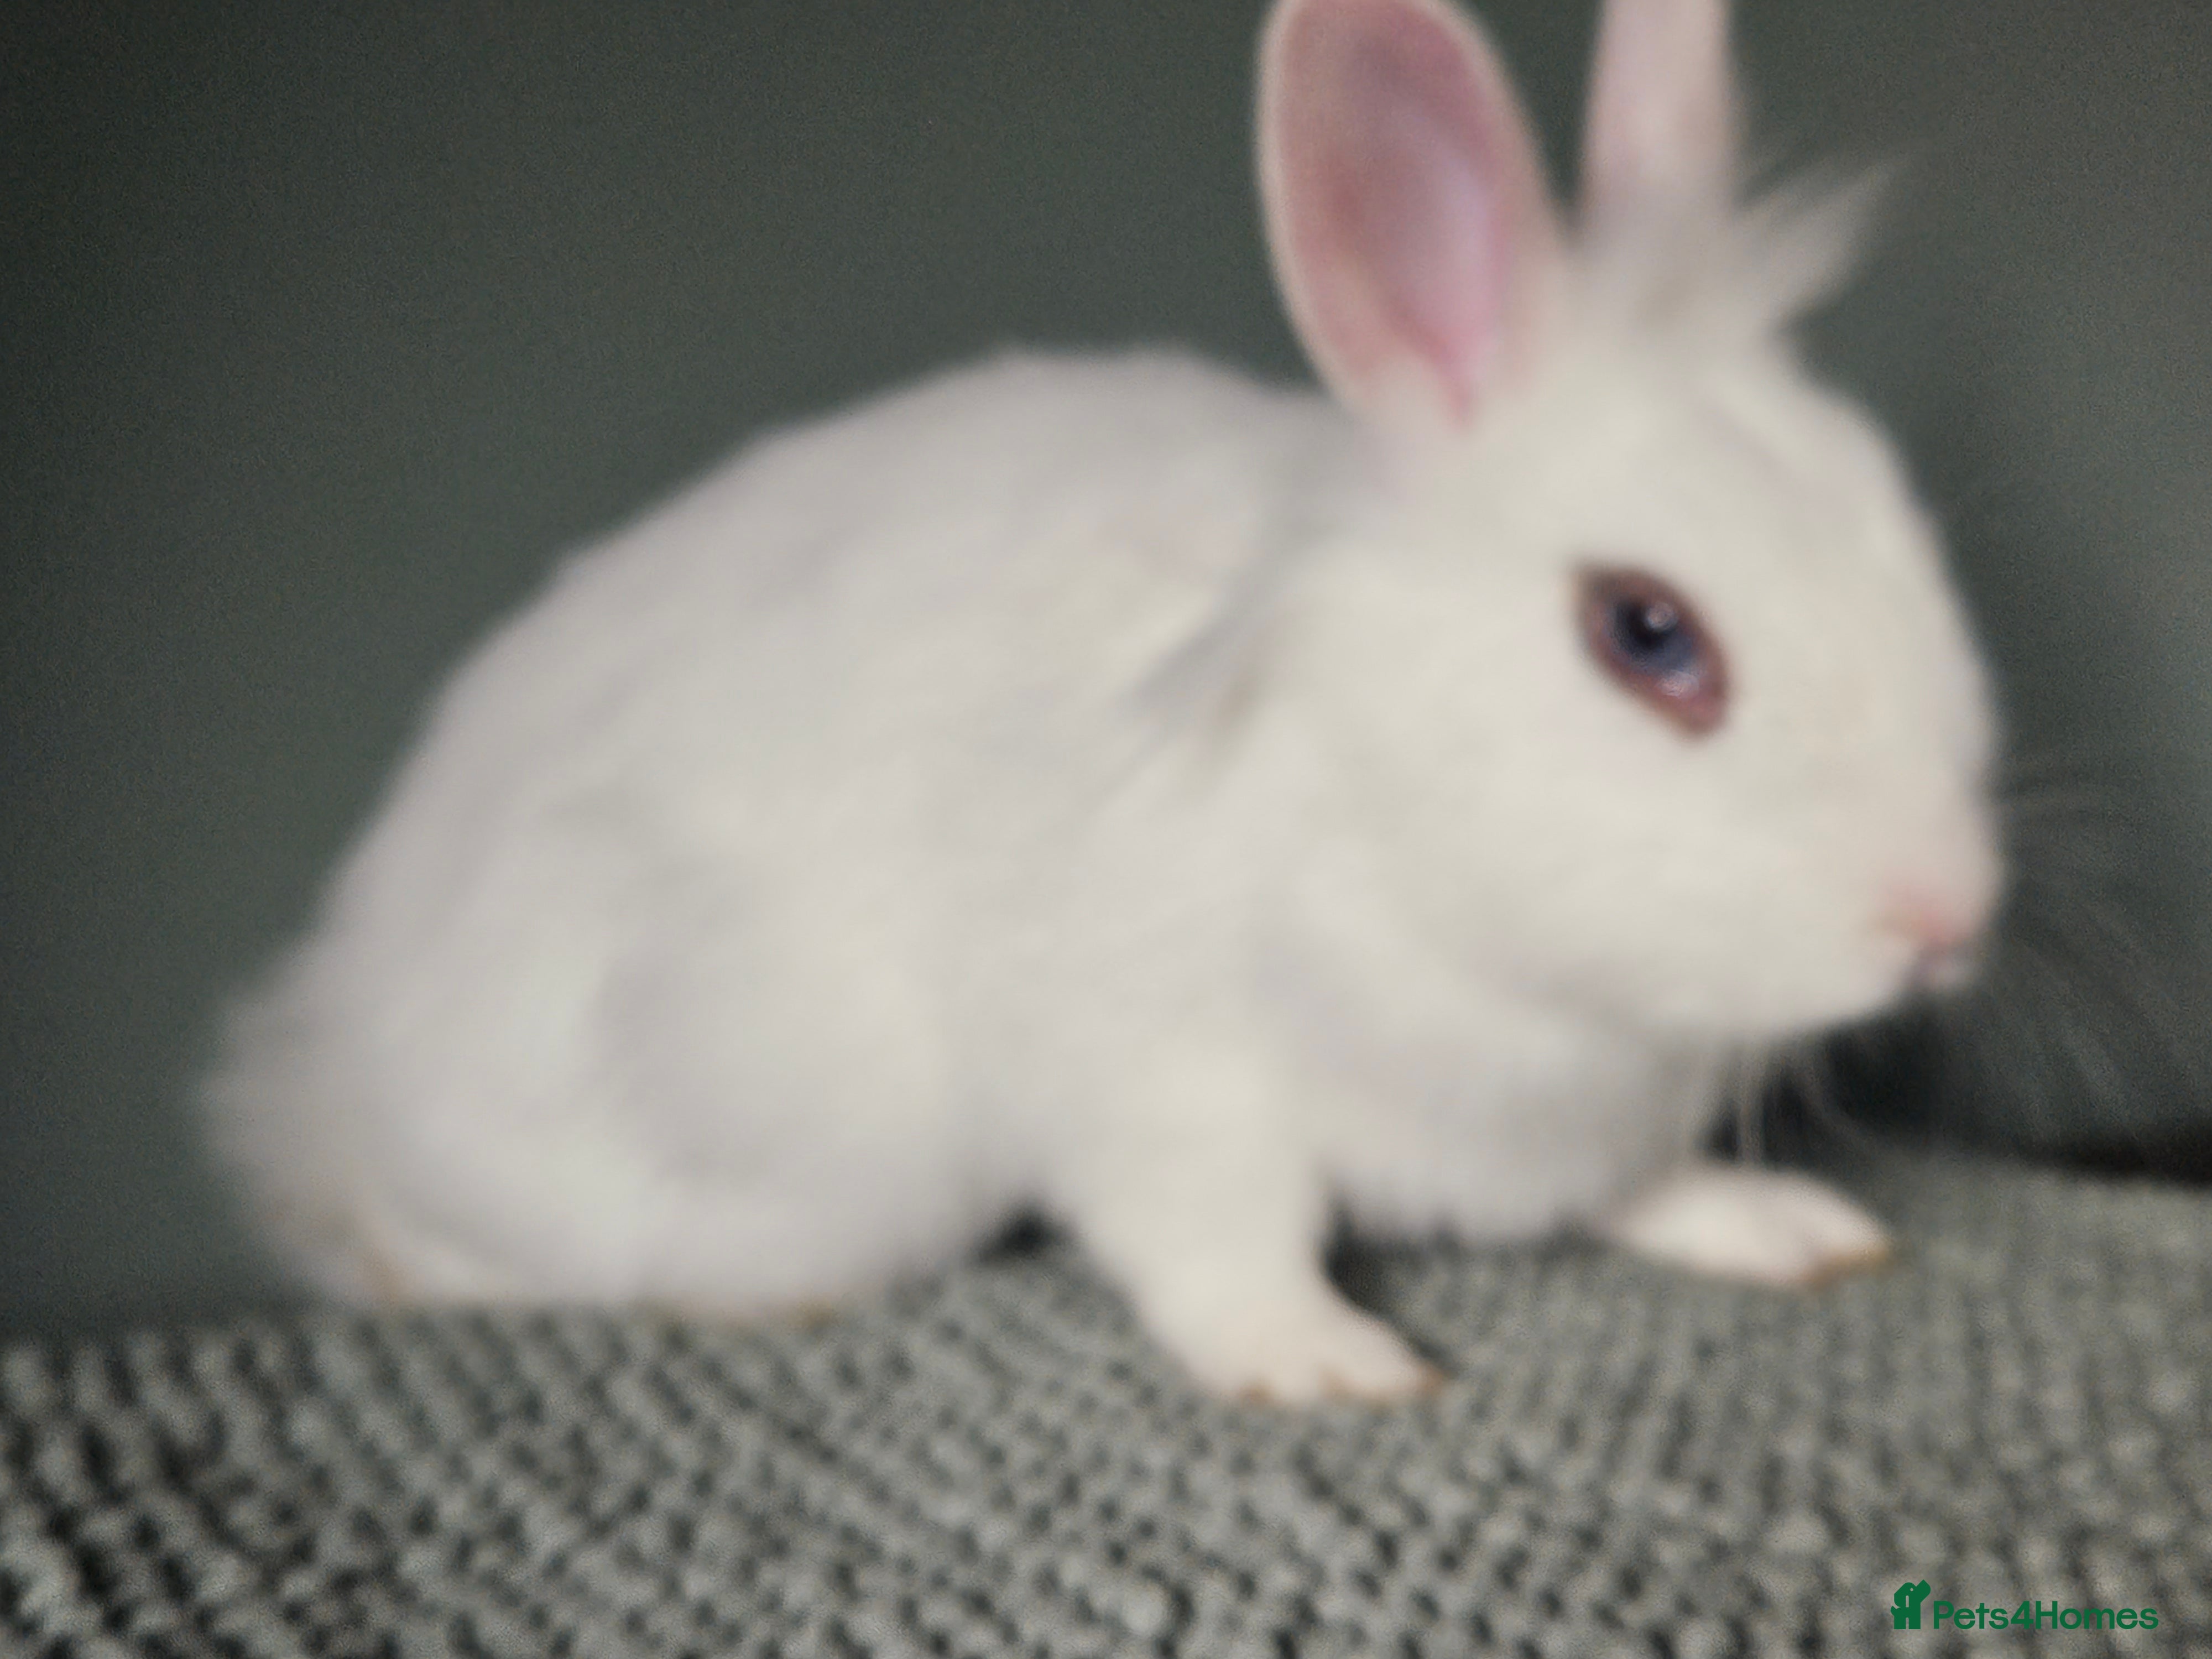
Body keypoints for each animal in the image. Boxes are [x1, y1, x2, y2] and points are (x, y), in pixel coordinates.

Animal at [207, 0, 2003, 1404]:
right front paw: (1330, 1363)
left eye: (1905, 531)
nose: (1945, 918)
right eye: (1645, 634)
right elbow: (1219, 1244)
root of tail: (328, 1026)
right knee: (403, 1236)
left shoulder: (1571, 1128)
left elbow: (1637, 1188)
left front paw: (1786, 1231)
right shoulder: (1165, 1082)